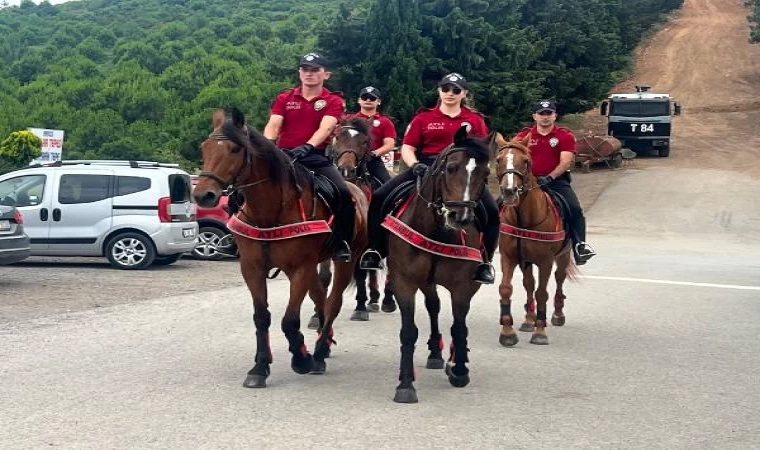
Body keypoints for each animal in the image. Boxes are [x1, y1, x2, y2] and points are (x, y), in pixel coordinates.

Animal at [191, 108, 366, 386]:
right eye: (204, 147)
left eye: (234, 149)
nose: (203, 195)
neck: (269, 212)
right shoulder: (251, 268)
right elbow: (262, 317)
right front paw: (259, 368)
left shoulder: (299, 269)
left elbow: (289, 320)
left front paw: (301, 359)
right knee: (321, 298)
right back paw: (324, 345)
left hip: (345, 260)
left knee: (333, 302)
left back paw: (318, 353)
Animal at [386, 126, 492, 404]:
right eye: (451, 167)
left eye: (486, 174)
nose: (460, 216)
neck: (437, 230)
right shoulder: (404, 282)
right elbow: (408, 331)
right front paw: (405, 385)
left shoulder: (464, 286)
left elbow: (459, 326)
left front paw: (460, 370)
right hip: (425, 281)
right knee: (433, 306)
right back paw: (434, 352)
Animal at [490, 132, 580, 346]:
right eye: (498, 160)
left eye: (525, 161)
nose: (509, 191)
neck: (524, 218)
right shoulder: (509, 257)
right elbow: (506, 289)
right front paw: (507, 332)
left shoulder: (546, 261)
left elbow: (542, 293)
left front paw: (540, 331)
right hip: (526, 261)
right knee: (528, 284)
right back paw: (529, 320)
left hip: (563, 256)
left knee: (559, 278)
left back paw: (557, 315)